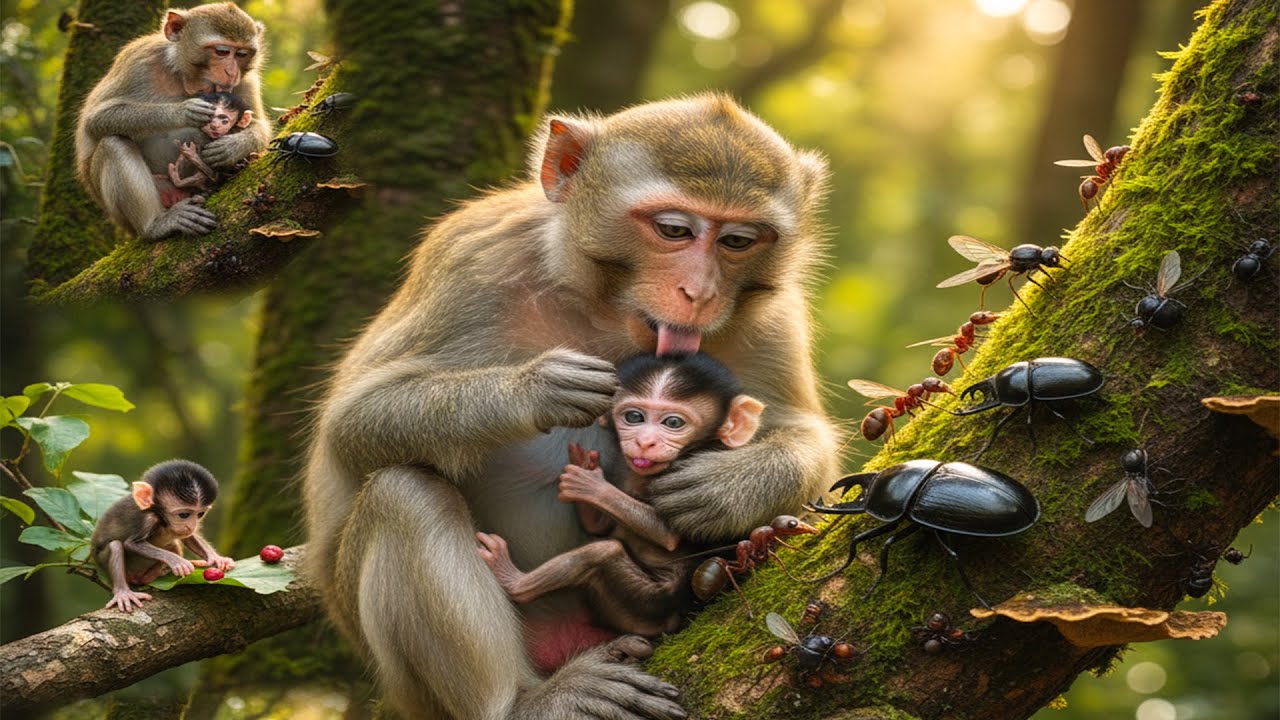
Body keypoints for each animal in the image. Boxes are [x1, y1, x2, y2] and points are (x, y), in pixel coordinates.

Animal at [75, 3, 269, 240]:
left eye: (241, 54)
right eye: (222, 51)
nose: (231, 72)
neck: (182, 78)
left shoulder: (246, 80)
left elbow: (259, 125)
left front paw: (233, 147)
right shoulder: (139, 60)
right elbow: (95, 119)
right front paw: (183, 111)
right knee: (114, 144)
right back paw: (156, 224)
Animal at [90, 459, 235, 613]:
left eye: (200, 514)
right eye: (184, 515)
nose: (191, 526)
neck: (161, 519)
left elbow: (188, 537)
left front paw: (217, 558)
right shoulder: (146, 518)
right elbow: (132, 544)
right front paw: (178, 562)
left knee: (173, 546)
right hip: (102, 562)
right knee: (116, 545)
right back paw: (124, 593)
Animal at [476, 352, 765, 641]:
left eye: (673, 423)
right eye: (634, 417)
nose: (645, 442)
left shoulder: (689, 470)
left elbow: (669, 535)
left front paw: (590, 484)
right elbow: (599, 526)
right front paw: (587, 467)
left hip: (648, 606)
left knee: (603, 551)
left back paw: (513, 582)